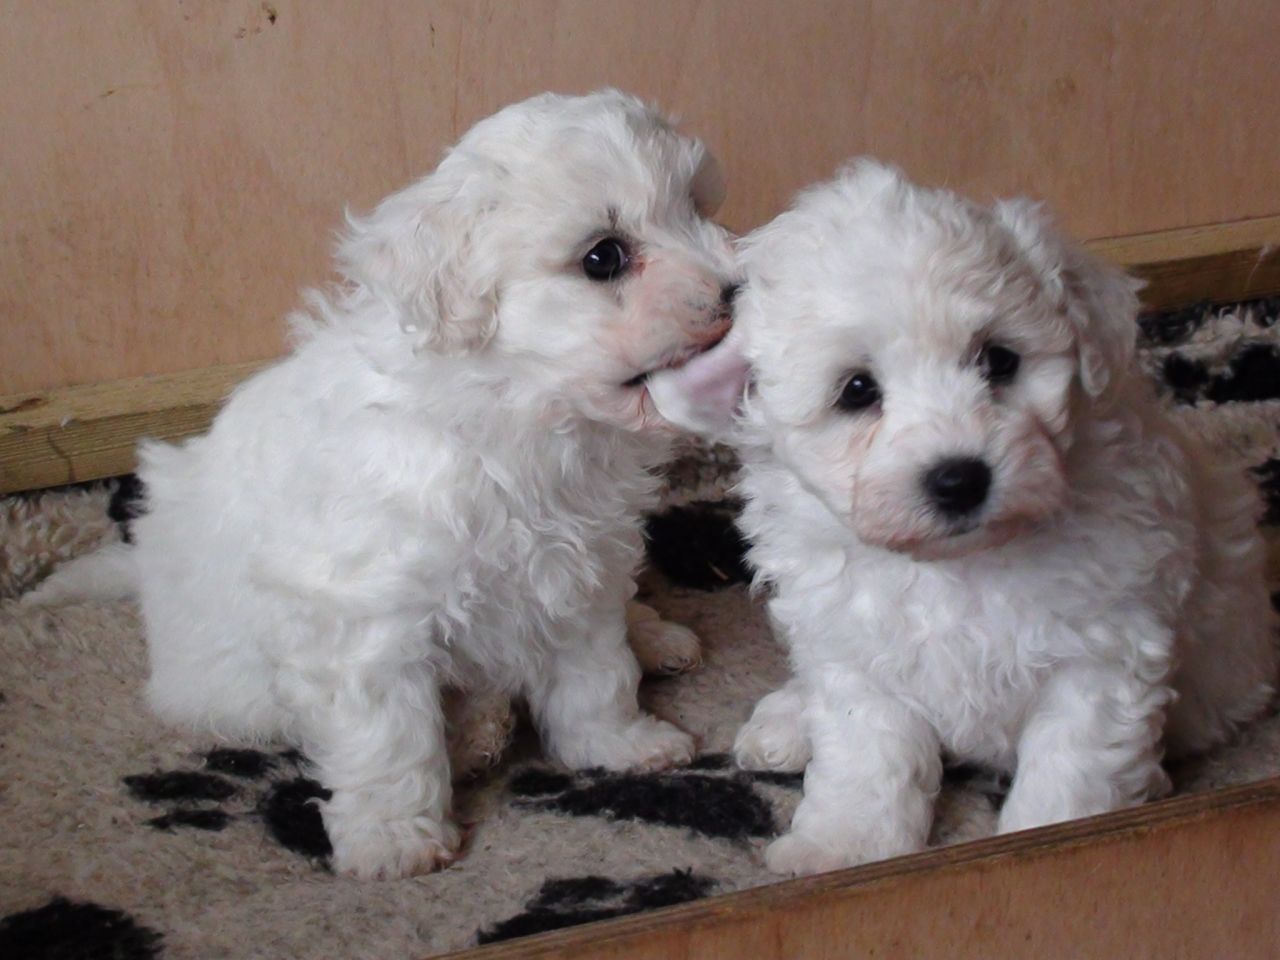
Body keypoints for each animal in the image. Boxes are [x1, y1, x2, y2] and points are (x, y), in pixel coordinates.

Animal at [27, 90, 742, 880]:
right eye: (604, 256)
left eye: (697, 207)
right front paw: (393, 838)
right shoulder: (366, 615)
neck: (517, 416)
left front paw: (621, 745)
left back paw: (652, 638)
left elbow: (595, 673)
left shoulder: (576, 568)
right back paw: (473, 729)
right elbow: (388, 735)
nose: (737, 290)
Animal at [721, 163, 1280, 880]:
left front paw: (1048, 844)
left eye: (999, 360)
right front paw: (843, 848)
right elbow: (864, 756)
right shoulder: (857, 651)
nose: (959, 478)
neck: (962, 565)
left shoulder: (1101, 654)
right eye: (856, 390)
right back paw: (788, 720)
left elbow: (1069, 773)